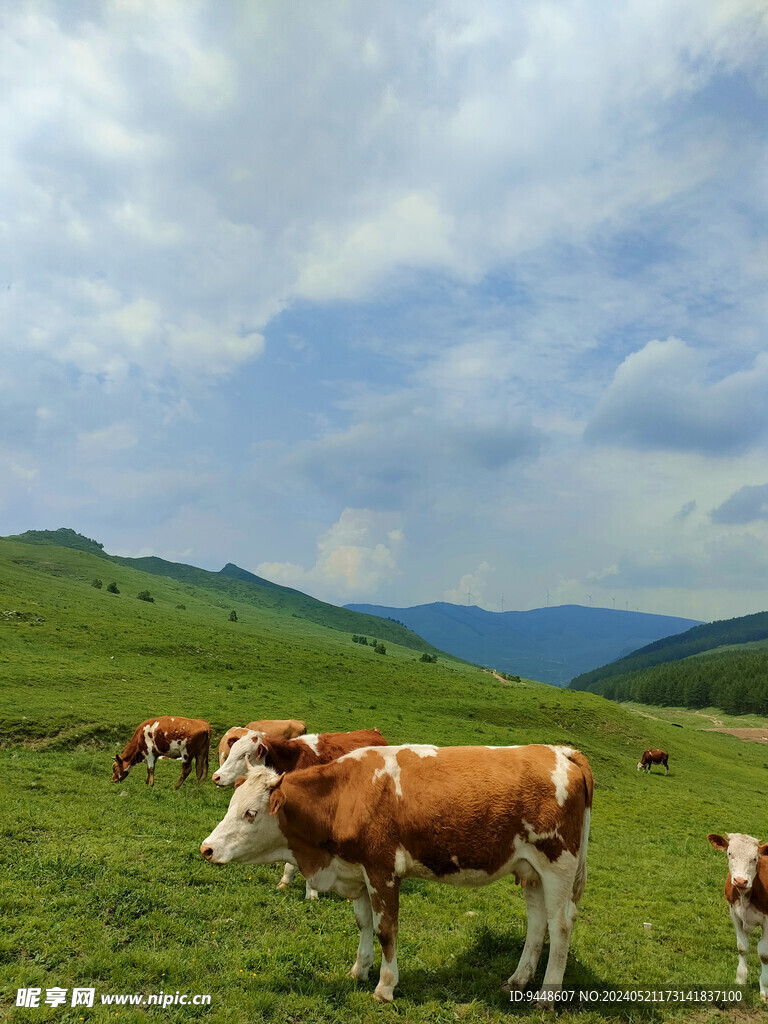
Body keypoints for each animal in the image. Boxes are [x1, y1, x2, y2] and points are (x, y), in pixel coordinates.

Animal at [211, 729, 387, 897]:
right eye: (232, 751)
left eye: (244, 755)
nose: (216, 776)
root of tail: (374, 731)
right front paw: (285, 882)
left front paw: (312, 893)